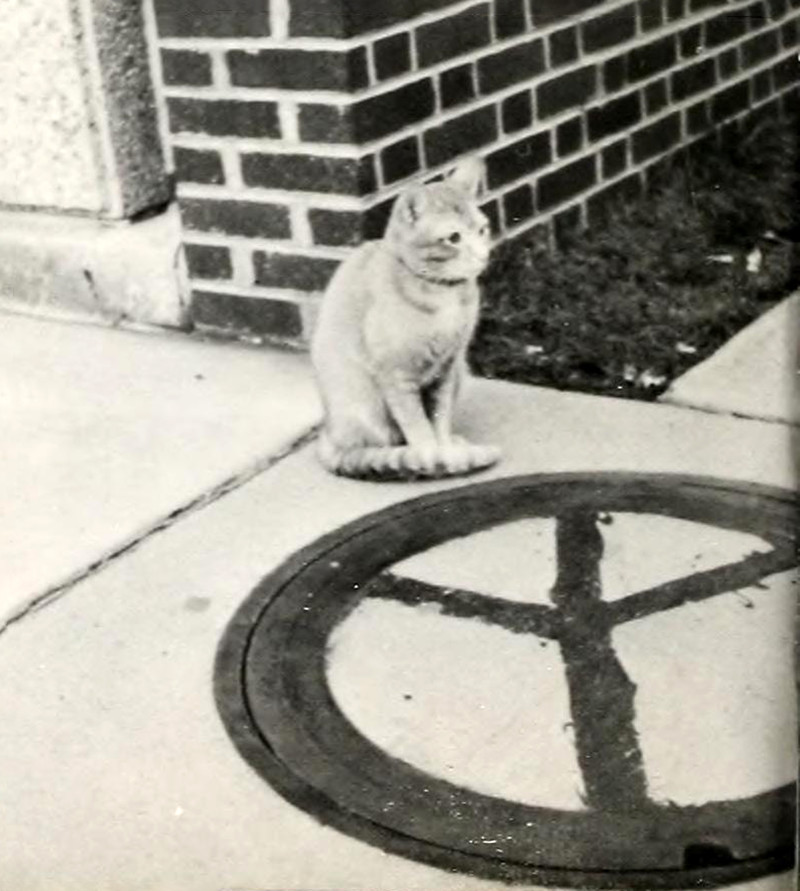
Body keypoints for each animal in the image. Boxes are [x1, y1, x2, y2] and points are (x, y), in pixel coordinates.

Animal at [310, 157, 501, 480]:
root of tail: (328, 437)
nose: (482, 256)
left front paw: (445, 449)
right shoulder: (397, 376)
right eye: (453, 238)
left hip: (461, 373)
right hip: (364, 406)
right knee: (370, 447)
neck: (443, 293)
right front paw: (432, 458)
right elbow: (418, 427)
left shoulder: (446, 369)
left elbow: (439, 419)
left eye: (482, 230)